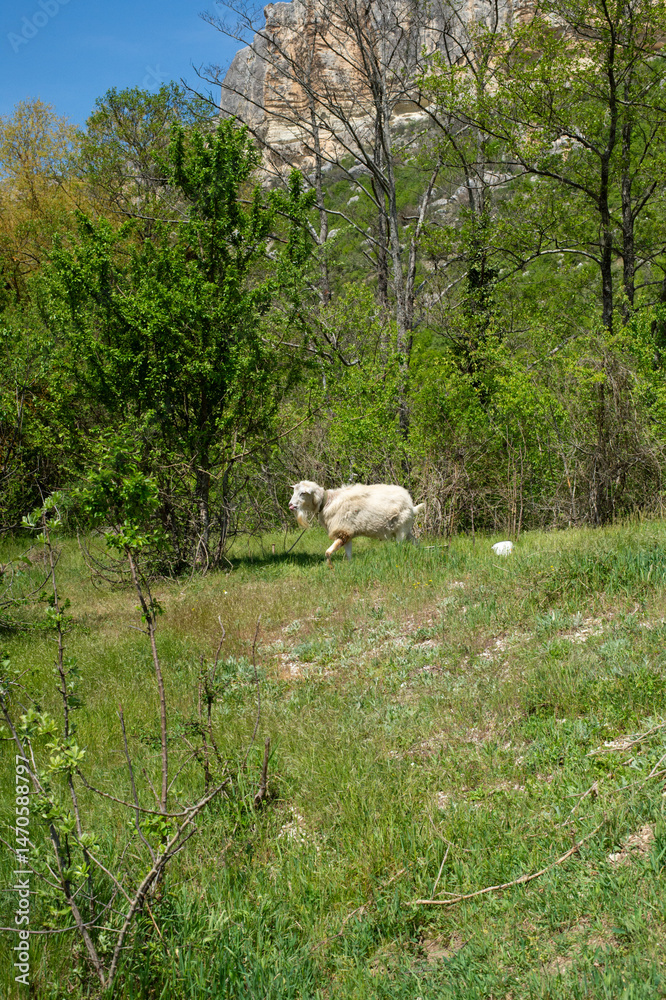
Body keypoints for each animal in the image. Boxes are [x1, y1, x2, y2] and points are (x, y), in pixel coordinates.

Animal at [288, 480, 425, 564]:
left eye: (302, 493)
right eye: (294, 491)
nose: (290, 505)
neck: (327, 502)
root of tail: (411, 505)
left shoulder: (342, 530)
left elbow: (327, 552)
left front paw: (330, 567)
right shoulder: (346, 533)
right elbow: (348, 555)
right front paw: (349, 567)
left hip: (401, 530)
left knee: (400, 547)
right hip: (405, 529)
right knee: (416, 542)